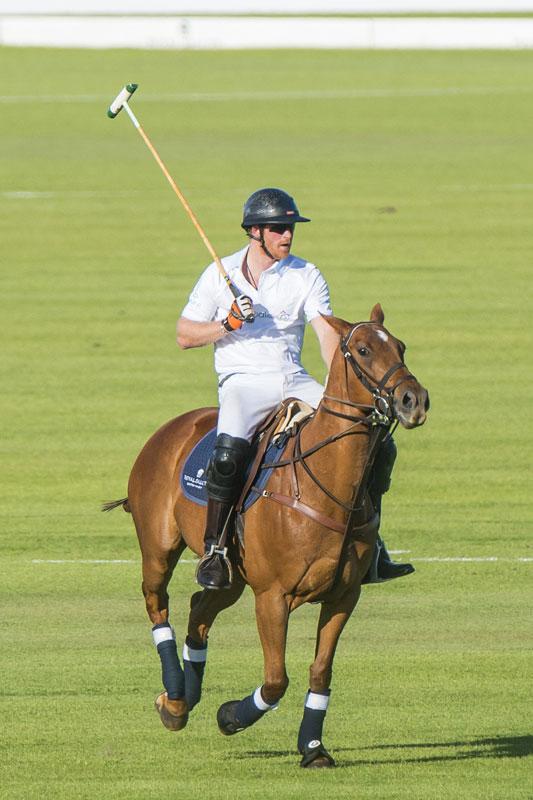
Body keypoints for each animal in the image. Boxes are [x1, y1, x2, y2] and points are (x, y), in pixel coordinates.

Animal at [105, 304, 428, 764]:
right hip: (158, 547)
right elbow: (276, 679)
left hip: (232, 576)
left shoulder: (345, 596)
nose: (413, 400)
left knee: (200, 607)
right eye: (364, 350)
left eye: (400, 346)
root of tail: (173, 426)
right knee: (157, 603)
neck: (324, 484)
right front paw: (230, 717)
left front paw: (312, 747)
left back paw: (187, 694)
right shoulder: (273, 596)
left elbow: (320, 671)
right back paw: (174, 697)